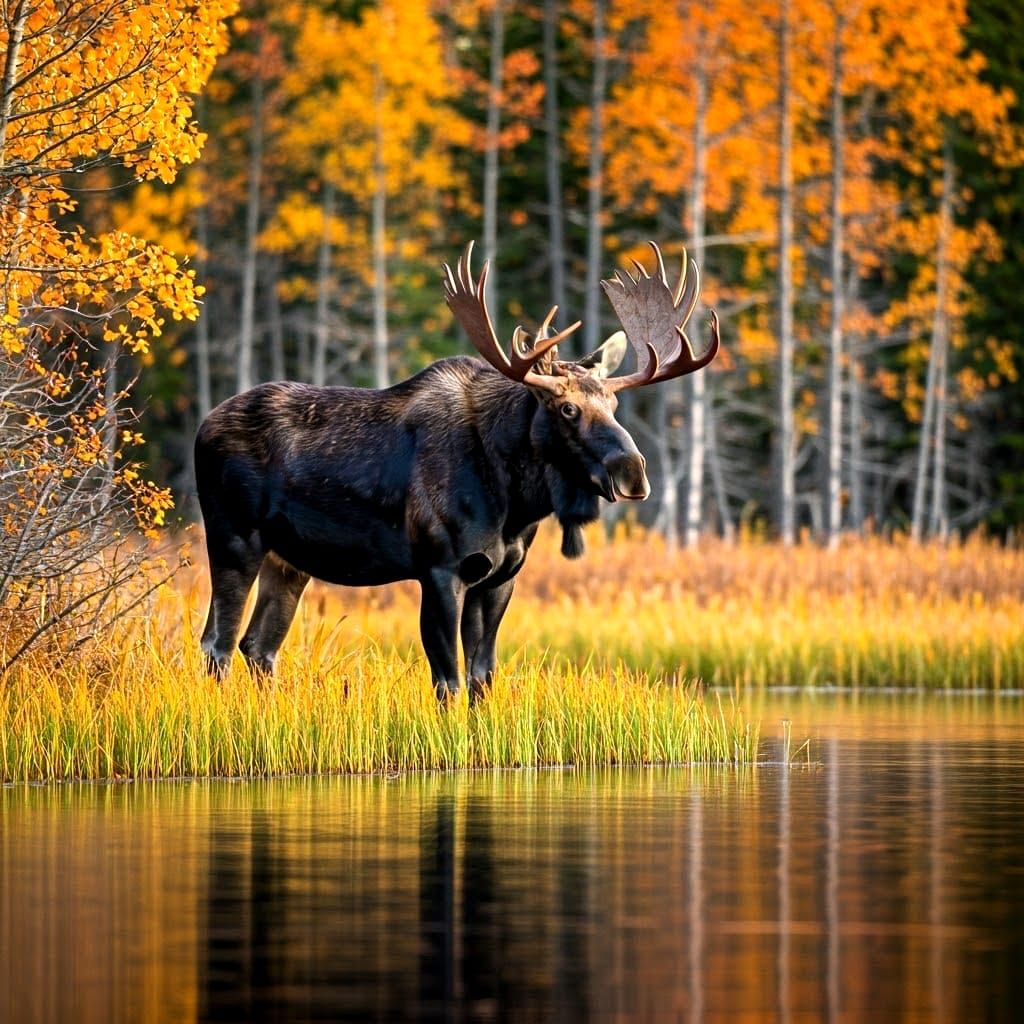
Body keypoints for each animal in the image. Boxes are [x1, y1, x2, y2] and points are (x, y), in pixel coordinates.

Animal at [194, 241, 719, 701]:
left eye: (613, 403)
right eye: (567, 408)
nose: (633, 470)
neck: (514, 505)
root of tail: (202, 427)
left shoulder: (501, 577)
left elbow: (482, 677)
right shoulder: (439, 568)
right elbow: (448, 680)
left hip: (290, 559)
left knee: (259, 645)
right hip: (234, 537)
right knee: (217, 641)